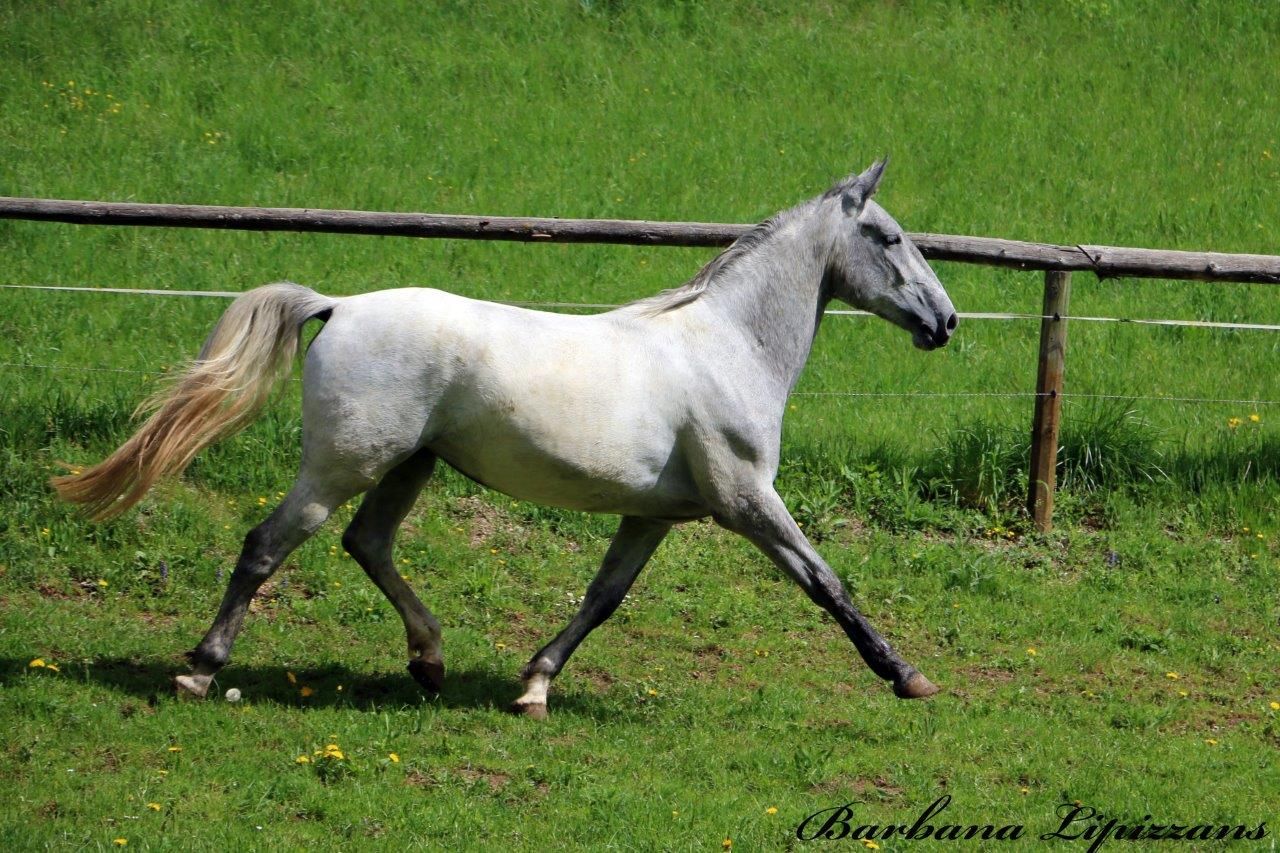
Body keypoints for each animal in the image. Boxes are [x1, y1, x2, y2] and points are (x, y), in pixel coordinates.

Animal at [52, 160, 957, 718]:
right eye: (889, 237)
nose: (945, 321)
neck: (727, 346)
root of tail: (338, 305)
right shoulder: (747, 500)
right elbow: (826, 581)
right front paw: (909, 676)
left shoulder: (655, 516)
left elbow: (602, 598)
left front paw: (534, 686)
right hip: (342, 464)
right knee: (267, 544)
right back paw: (200, 669)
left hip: (410, 465)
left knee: (366, 543)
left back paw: (428, 660)